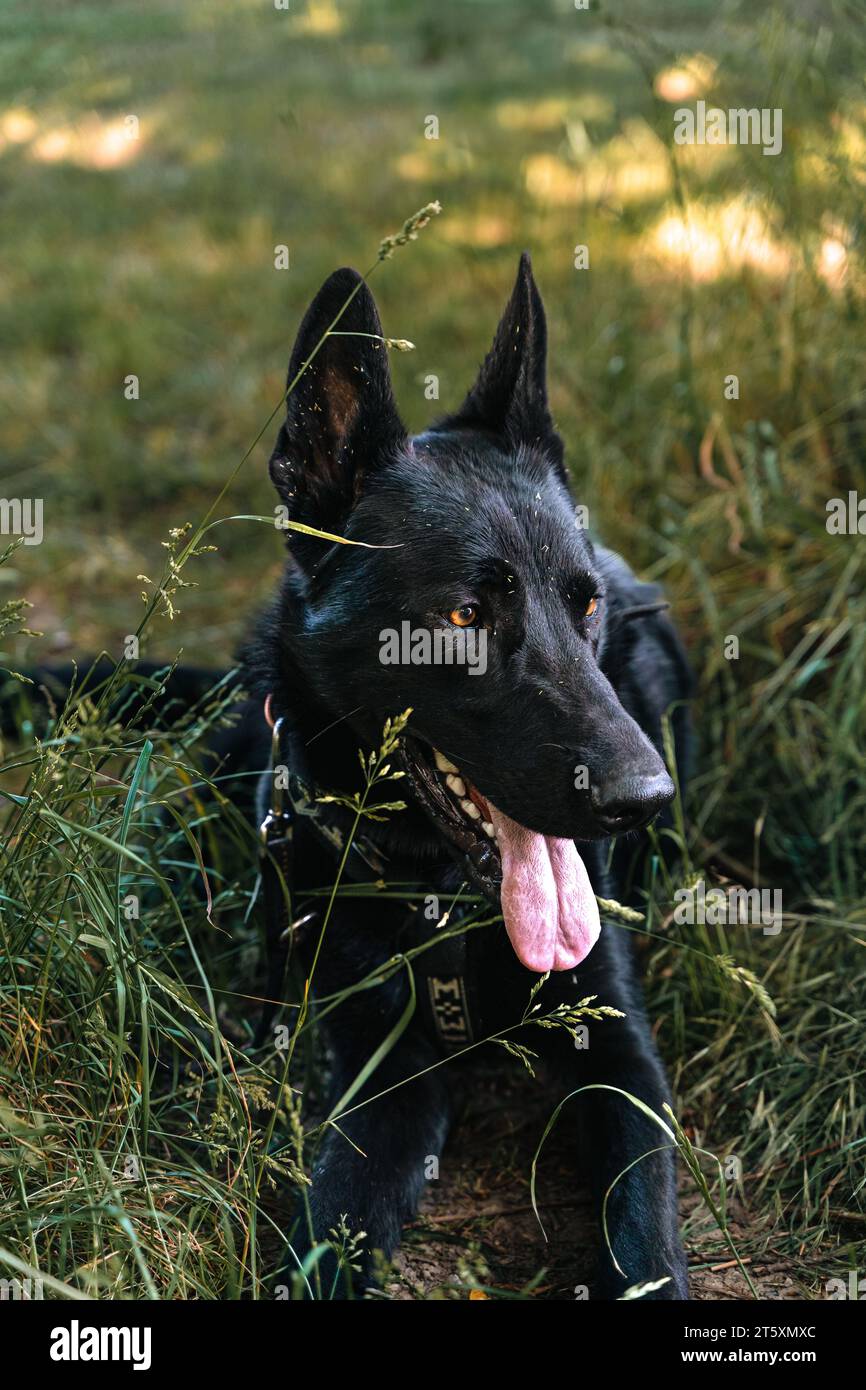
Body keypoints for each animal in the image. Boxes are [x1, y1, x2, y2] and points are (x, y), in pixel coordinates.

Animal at [234, 252, 692, 1301]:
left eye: (586, 605)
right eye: (461, 619)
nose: (643, 799)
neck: (446, 901)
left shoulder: (621, 1056)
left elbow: (642, 1229)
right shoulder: (384, 1074)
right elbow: (334, 1222)